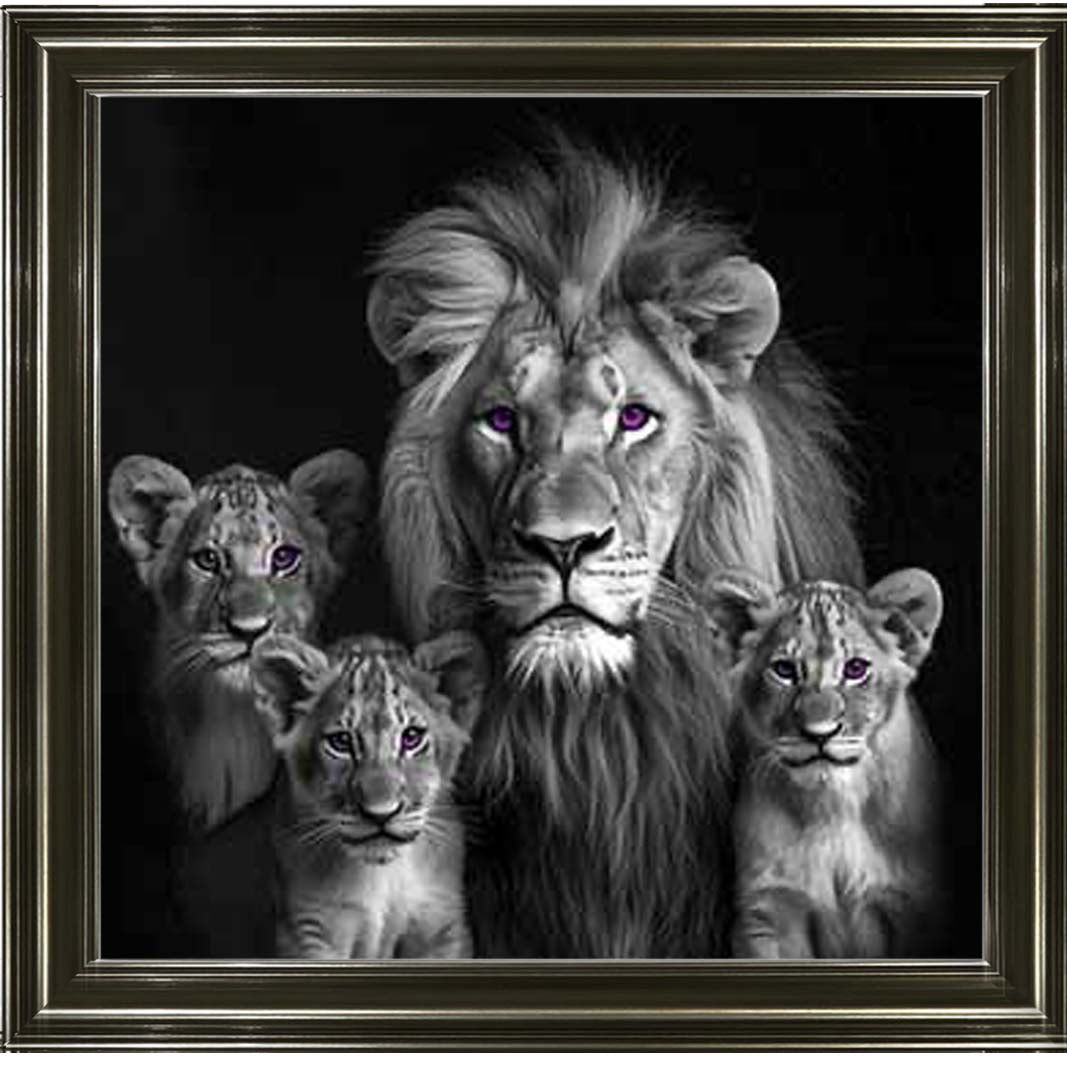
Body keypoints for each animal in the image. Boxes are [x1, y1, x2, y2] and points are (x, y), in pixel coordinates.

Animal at [250, 631, 485, 959]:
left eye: (412, 737)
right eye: (340, 742)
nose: (381, 814)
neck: (382, 875)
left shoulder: (442, 927)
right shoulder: (309, 932)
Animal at [704, 568, 944, 958]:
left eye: (856, 669)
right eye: (784, 670)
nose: (820, 733)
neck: (833, 806)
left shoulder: (914, 906)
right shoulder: (769, 910)